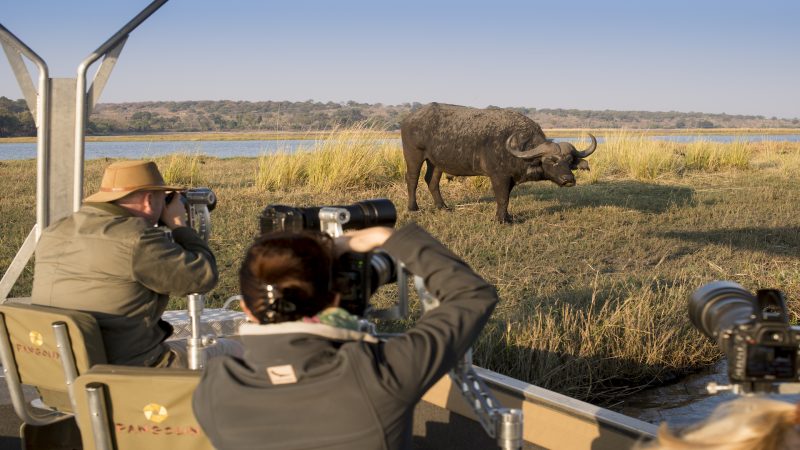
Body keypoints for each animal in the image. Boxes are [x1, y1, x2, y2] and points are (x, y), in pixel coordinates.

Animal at [400, 102, 592, 221]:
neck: (518, 147)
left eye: (569, 160)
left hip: (436, 162)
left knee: (432, 181)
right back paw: (413, 207)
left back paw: (443, 207)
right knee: (412, 179)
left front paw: (506, 217)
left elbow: (506, 198)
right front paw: (501, 220)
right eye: (551, 160)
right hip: (413, 155)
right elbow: (502, 198)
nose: (569, 179)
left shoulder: (510, 178)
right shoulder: (499, 176)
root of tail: (408, 119)